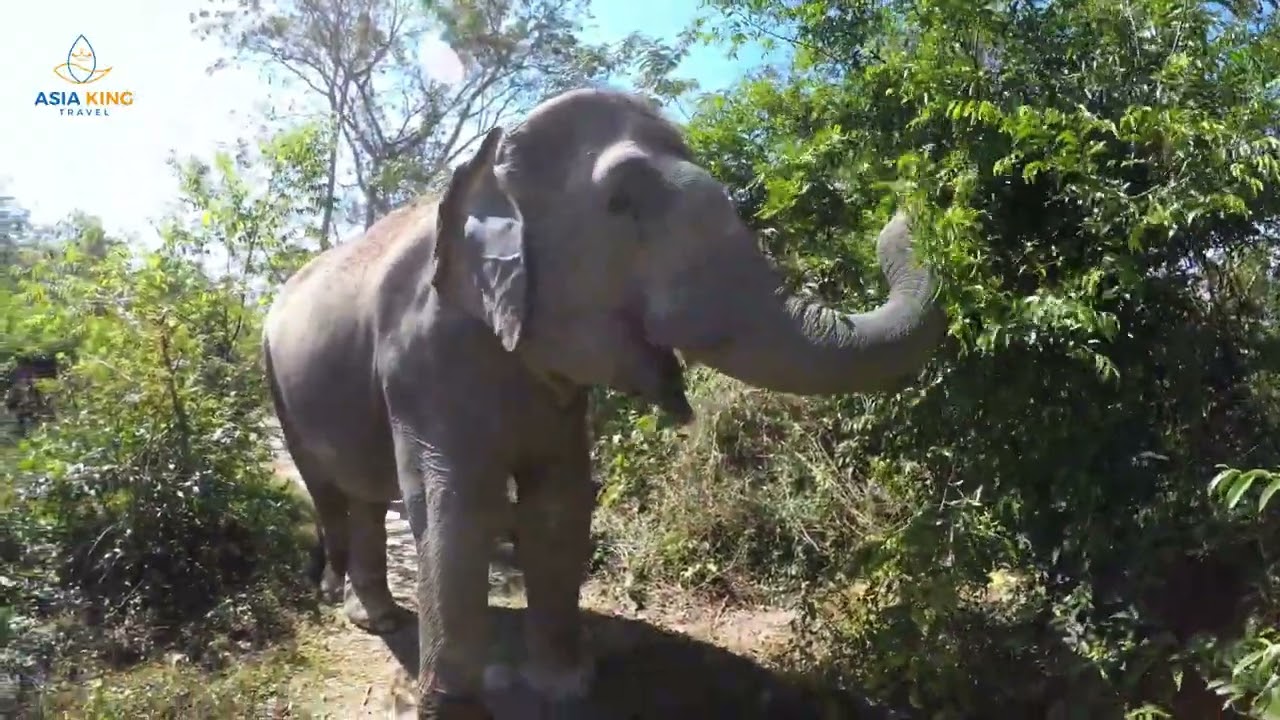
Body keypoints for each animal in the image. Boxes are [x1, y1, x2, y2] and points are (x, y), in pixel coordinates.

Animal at [262, 87, 946, 719]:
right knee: (330, 492)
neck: (493, 165)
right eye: (621, 204)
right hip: (278, 384)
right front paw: (451, 708)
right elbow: (458, 504)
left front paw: (566, 686)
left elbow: (560, 503)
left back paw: (379, 618)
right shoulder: (422, 357)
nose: (904, 208)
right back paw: (353, 608)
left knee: (365, 497)